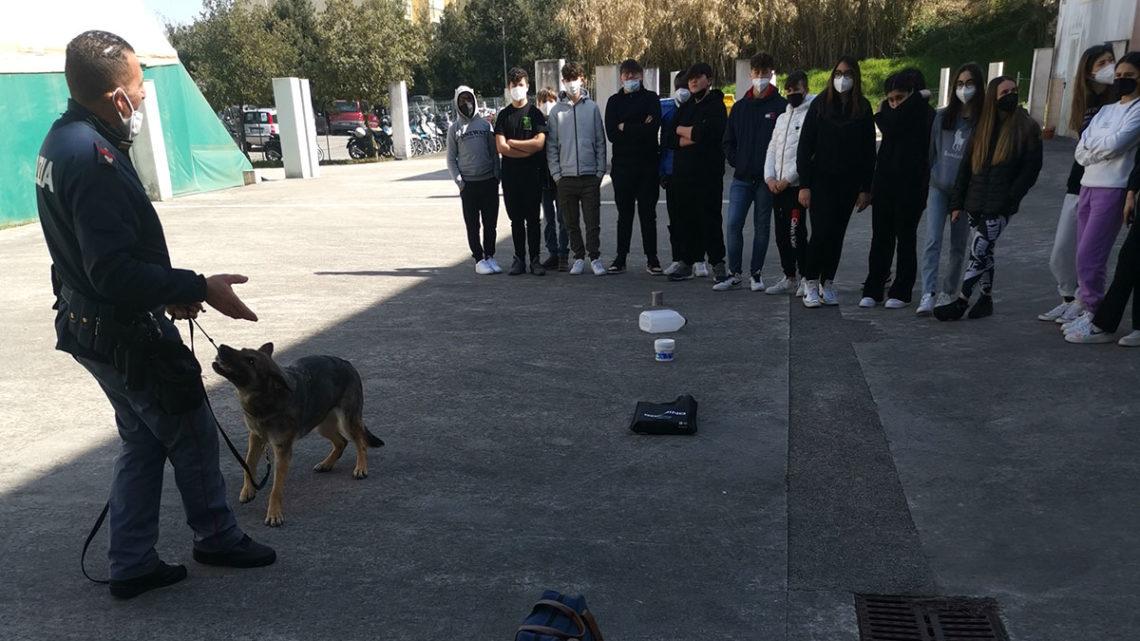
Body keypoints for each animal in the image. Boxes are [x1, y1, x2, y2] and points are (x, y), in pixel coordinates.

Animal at [214, 342, 387, 526]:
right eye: (242, 350)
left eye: (251, 361)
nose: (221, 347)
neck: (267, 399)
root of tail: (347, 363)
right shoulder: (256, 438)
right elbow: (248, 464)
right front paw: (248, 490)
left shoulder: (282, 451)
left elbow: (276, 488)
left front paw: (274, 513)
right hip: (321, 425)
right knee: (341, 442)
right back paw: (327, 464)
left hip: (347, 422)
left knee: (360, 441)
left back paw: (361, 468)